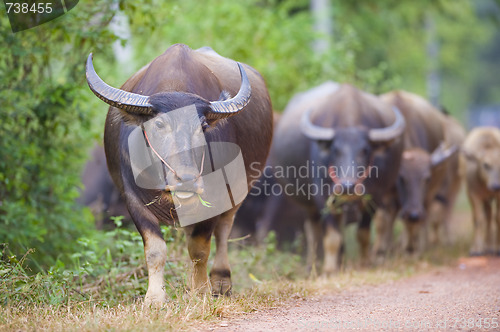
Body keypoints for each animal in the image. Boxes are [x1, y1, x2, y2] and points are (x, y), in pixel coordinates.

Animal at [86, 44, 274, 306]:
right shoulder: (132, 199)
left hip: (238, 190)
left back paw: (220, 282)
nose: (187, 180)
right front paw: (155, 298)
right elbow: (155, 250)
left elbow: (199, 248)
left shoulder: (215, 196)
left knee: (223, 231)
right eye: (159, 125)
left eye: (203, 127)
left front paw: (201, 291)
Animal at [270, 81, 406, 274]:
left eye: (365, 150)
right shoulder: (322, 197)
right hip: (309, 205)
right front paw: (329, 268)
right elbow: (331, 236)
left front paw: (365, 262)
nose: (348, 186)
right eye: (335, 150)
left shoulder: (375, 197)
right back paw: (312, 265)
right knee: (313, 230)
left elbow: (363, 233)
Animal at [378, 91, 458, 254]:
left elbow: (416, 223)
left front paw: (412, 248)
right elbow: (387, 218)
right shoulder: (386, 195)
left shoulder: (427, 196)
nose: (414, 214)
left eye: (426, 178)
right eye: (401, 178)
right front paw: (385, 248)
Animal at [460, 126, 500, 255]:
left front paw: (497, 247)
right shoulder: (473, 194)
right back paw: (486, 245)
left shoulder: (498, 196)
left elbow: (498, 218)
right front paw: (477, 248)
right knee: (486, 216)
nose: (496, 186)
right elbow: (478, 220)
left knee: (490, 216)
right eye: (485, 165)